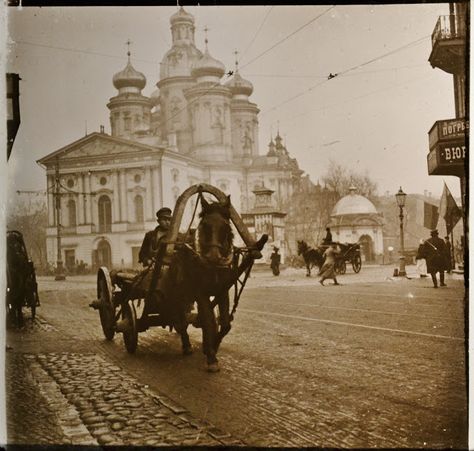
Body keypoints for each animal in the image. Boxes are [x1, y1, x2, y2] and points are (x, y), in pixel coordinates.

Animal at [161, 196, 237, 372]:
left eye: (225, 226)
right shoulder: (200, 292)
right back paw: (187, 345)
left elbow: (225, 324)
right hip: (178, 293)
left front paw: (213, 345)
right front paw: (211, 357)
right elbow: (208, 320)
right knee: (181, 320)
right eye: (205, 225)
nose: (214, 257)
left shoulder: (222, 290)